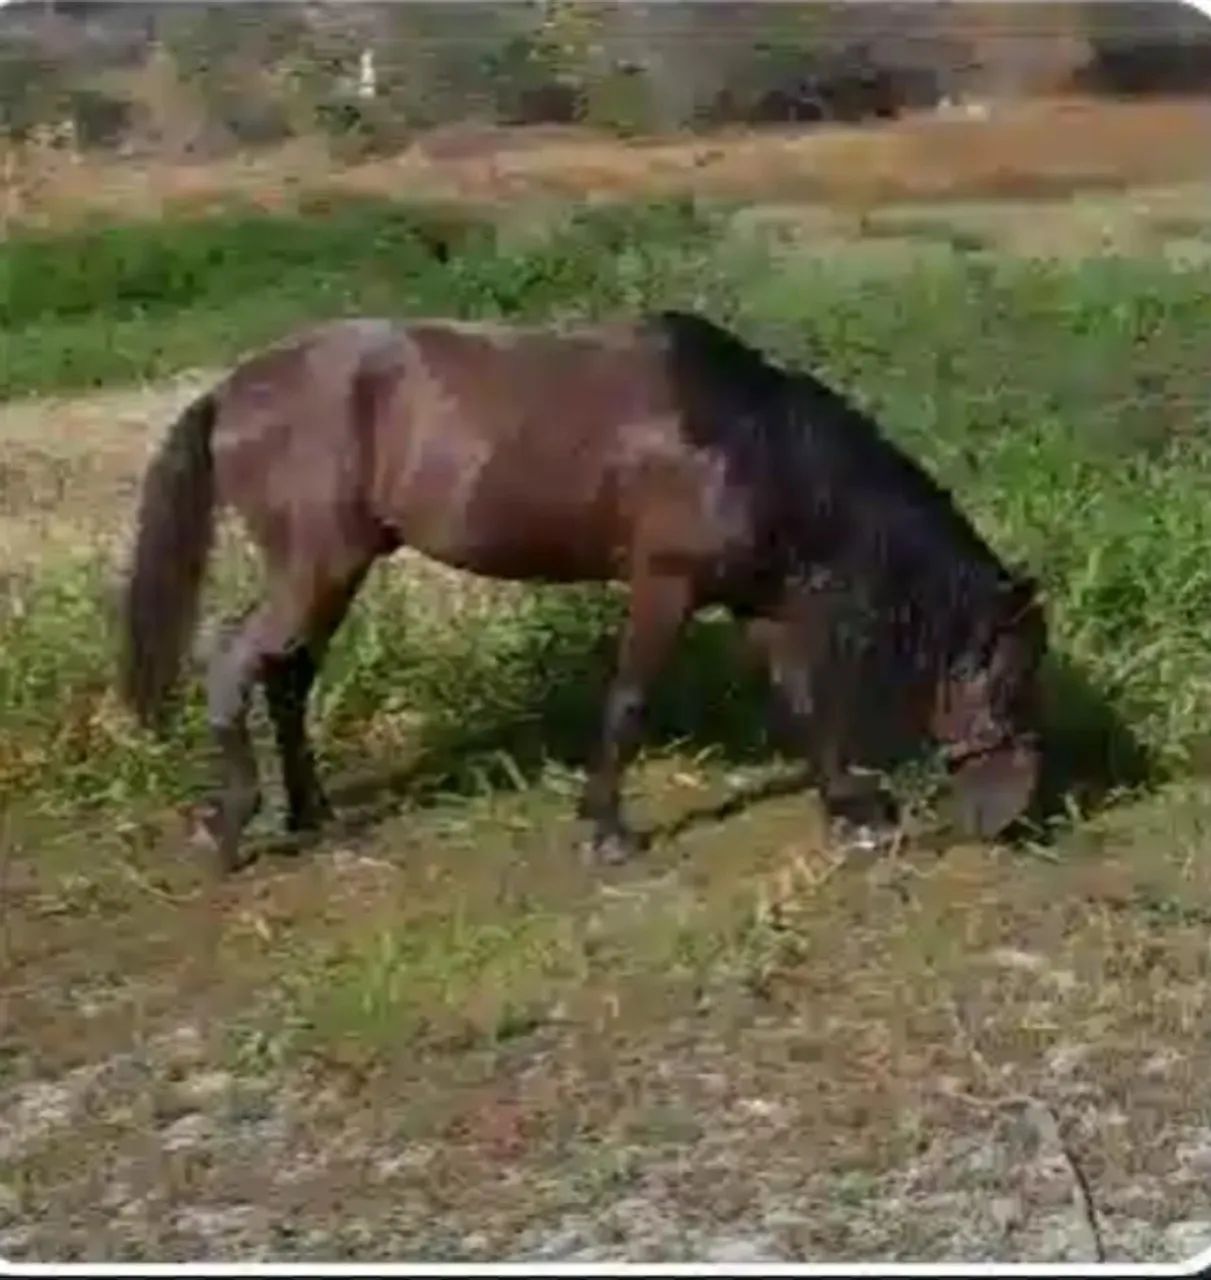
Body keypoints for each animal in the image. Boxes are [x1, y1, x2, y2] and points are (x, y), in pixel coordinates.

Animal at [119, 310, 1047, 872]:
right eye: (1010, 678)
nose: (1008, 814)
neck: (742, 439)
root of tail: (229, 390)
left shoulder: (758, 602)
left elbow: (805, 701)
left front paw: (852, 812)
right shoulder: (664, 585)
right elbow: (629, 701)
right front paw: (607, 829)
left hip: (335, 571)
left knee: (288, 677)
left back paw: (311, 815)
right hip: (314, 566)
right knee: (235, 666)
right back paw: (230, 826)